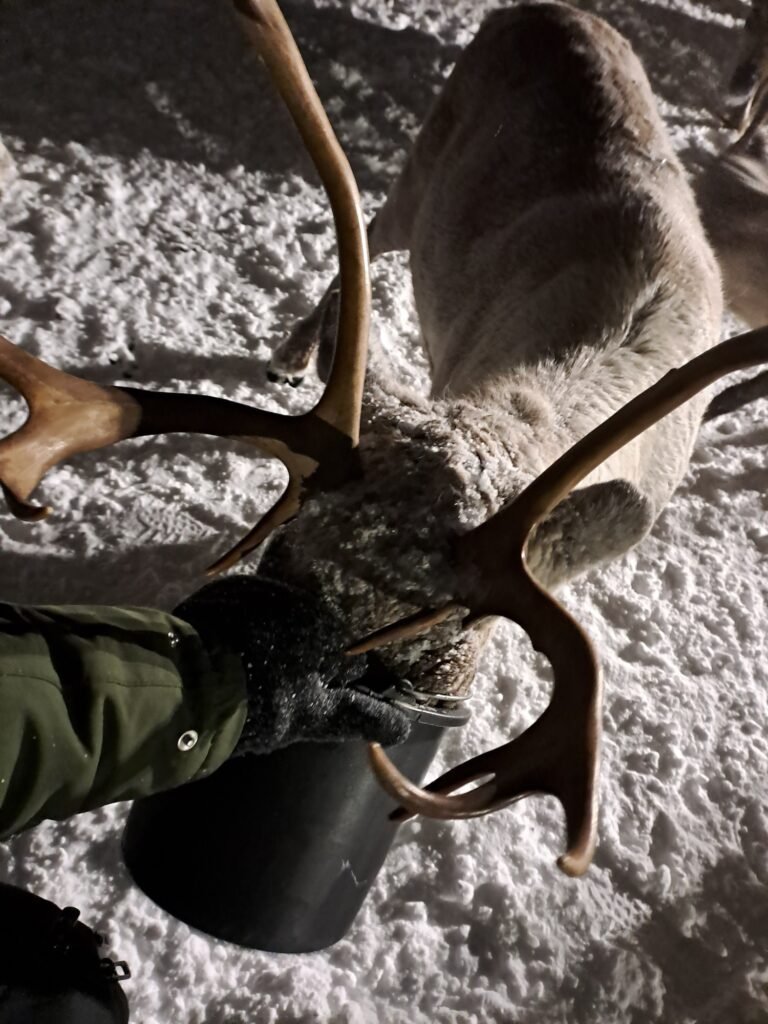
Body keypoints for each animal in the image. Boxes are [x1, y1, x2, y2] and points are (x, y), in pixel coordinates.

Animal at [0, 0, 766, 879]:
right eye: (283, 544)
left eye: (444, 617)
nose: (276, 649)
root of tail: (545, 8)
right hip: (419, 174)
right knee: (364, 239)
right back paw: (291, 354)